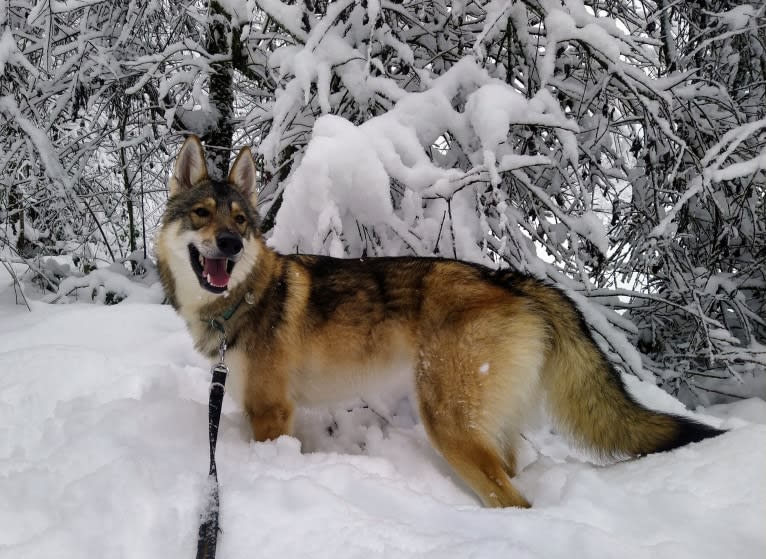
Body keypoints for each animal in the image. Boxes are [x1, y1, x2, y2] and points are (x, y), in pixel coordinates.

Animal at [158, 136, 728, 508]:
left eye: (240, 221)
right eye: (203, 214)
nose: (230, 244)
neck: (241, 302)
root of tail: (514, 279)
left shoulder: (271, 413)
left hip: (448, 424)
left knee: (513, 499)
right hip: (483, 427)